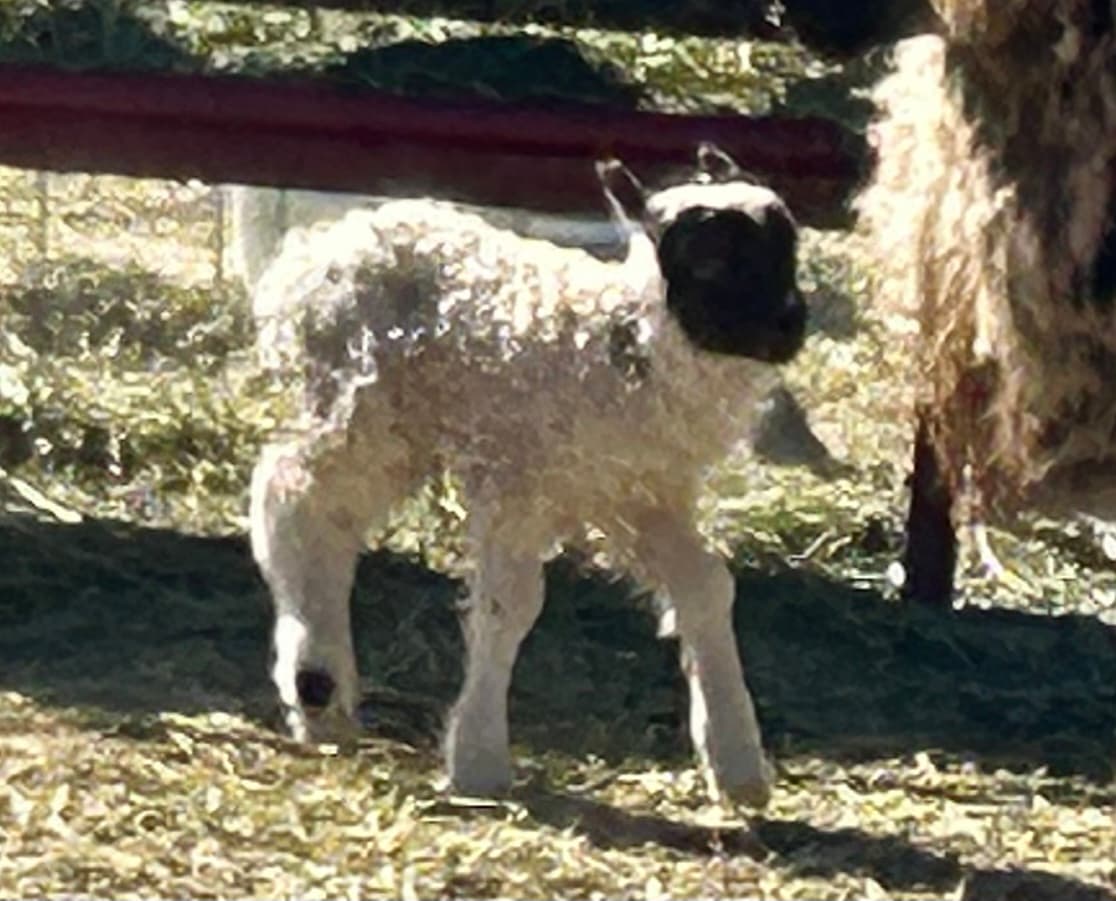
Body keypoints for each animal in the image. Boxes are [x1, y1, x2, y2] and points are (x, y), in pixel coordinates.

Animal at [247, 144, 807, 807]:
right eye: (710, 259)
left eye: (787, 243)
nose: (790, 324)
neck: (619, 345)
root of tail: (320, 247)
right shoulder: (518, 481)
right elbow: (508, 604)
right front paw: (478, 759)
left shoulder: (641, 494)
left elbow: (707, 588)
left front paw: (736, 762)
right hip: (363, 405)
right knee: (295, 501)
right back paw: (317, 685)